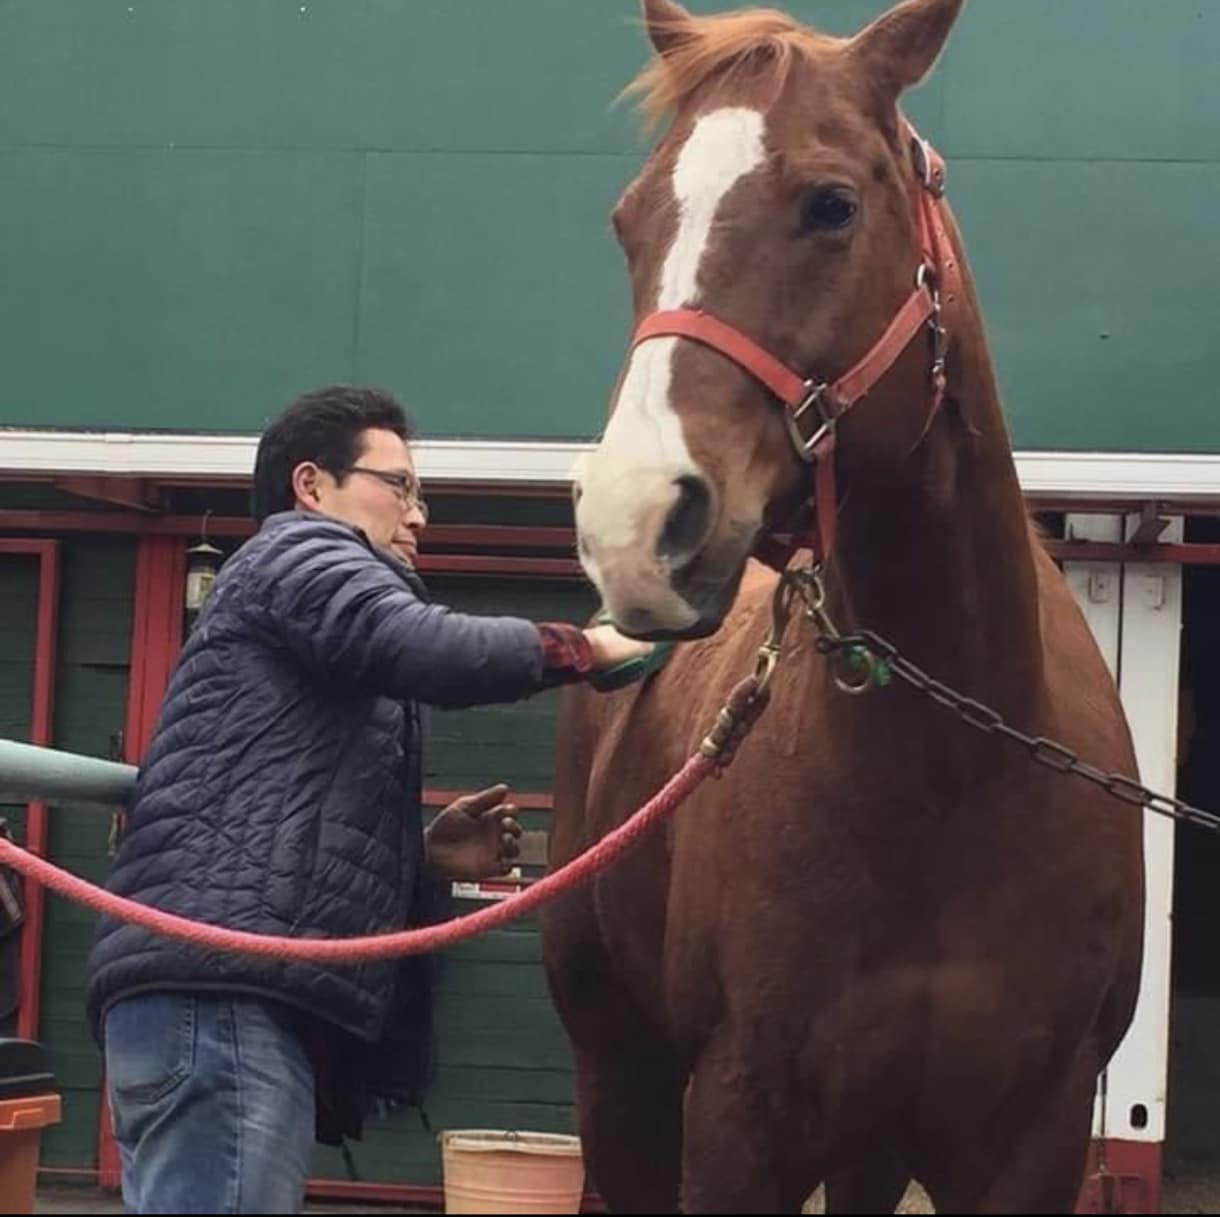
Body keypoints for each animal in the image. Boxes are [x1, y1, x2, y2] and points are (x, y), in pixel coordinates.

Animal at [539, 0, 1144, 1212]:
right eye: (630, 221)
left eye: (830, 204)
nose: (633, 517)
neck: (951, 777)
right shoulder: (739, 1122)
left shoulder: (1034, 1137)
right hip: (618, 1069)